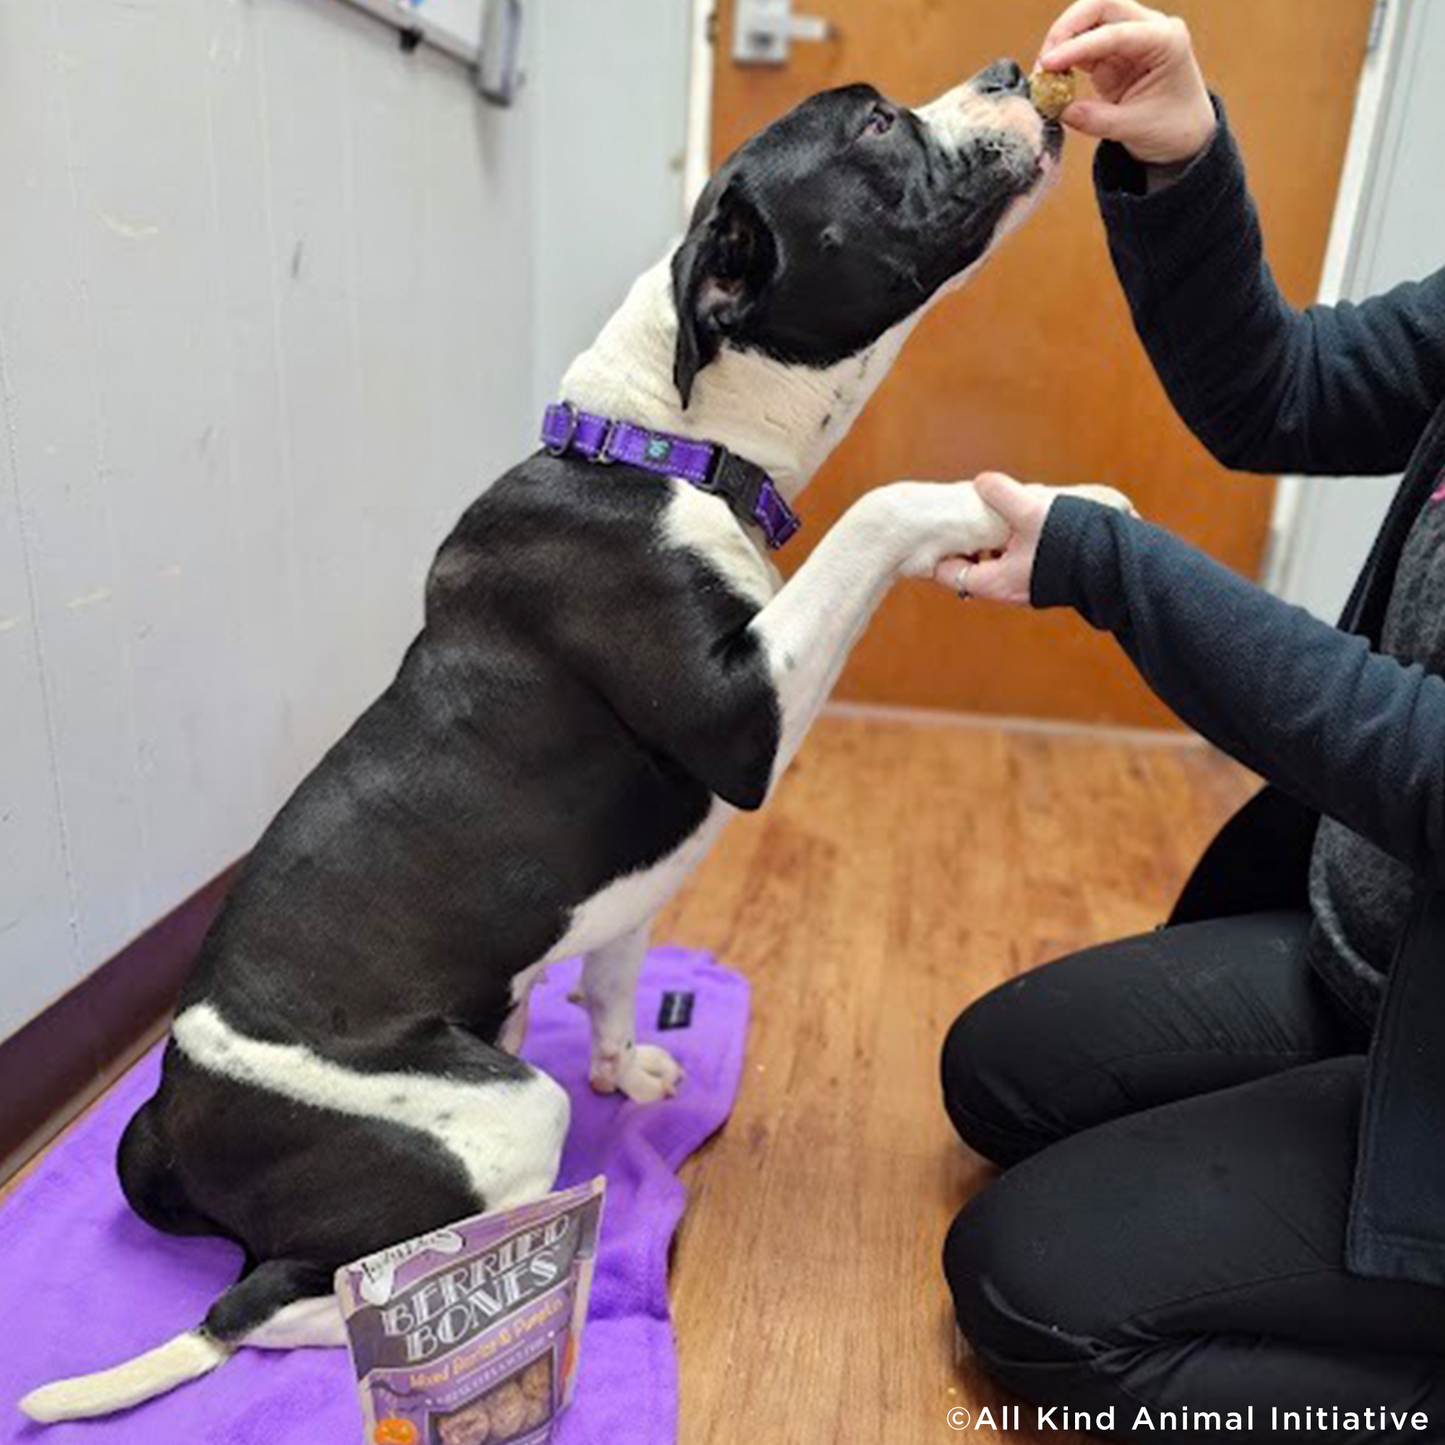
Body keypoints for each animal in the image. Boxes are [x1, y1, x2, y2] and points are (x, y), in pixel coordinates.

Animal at [19, 59, 1127, 1421]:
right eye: (871, 123)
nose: (1012, 71)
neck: (664, 444)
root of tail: (169, 1114)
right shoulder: (739, 720)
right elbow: (880, 507)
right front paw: (1021, 505)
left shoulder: (636, 887)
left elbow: (611, 972)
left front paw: (627, 1064)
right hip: (491, 1119)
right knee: (277, 1303)